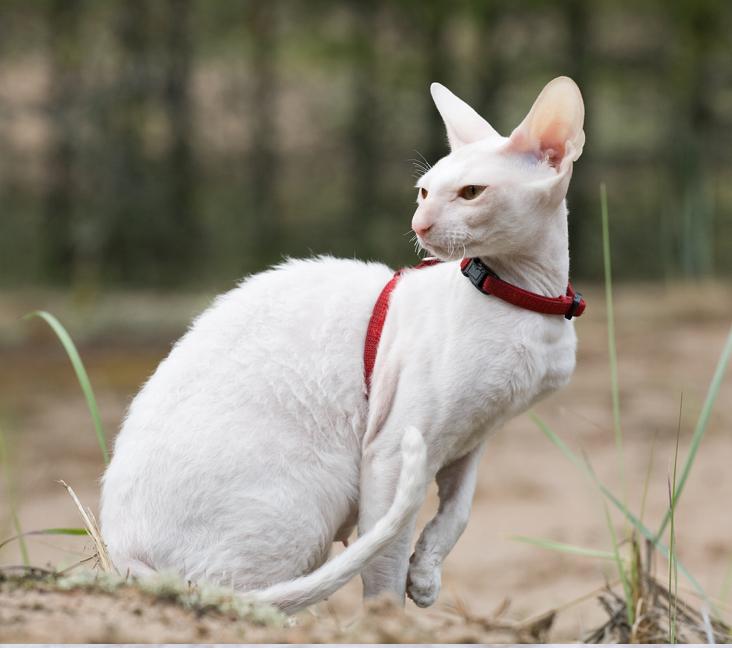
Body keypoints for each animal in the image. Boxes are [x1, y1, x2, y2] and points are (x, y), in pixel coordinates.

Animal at [100, 76, 588, 612]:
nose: (419, 225)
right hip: (307, 498)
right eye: (423, 191)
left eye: (471, 193)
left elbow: (458, 513)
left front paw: (425, 577)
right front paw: (389, 620)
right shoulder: (393, 450)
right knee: (241, 596)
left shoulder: (473, 438)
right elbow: (383, 568)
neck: (525, 297)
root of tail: (121, 551)